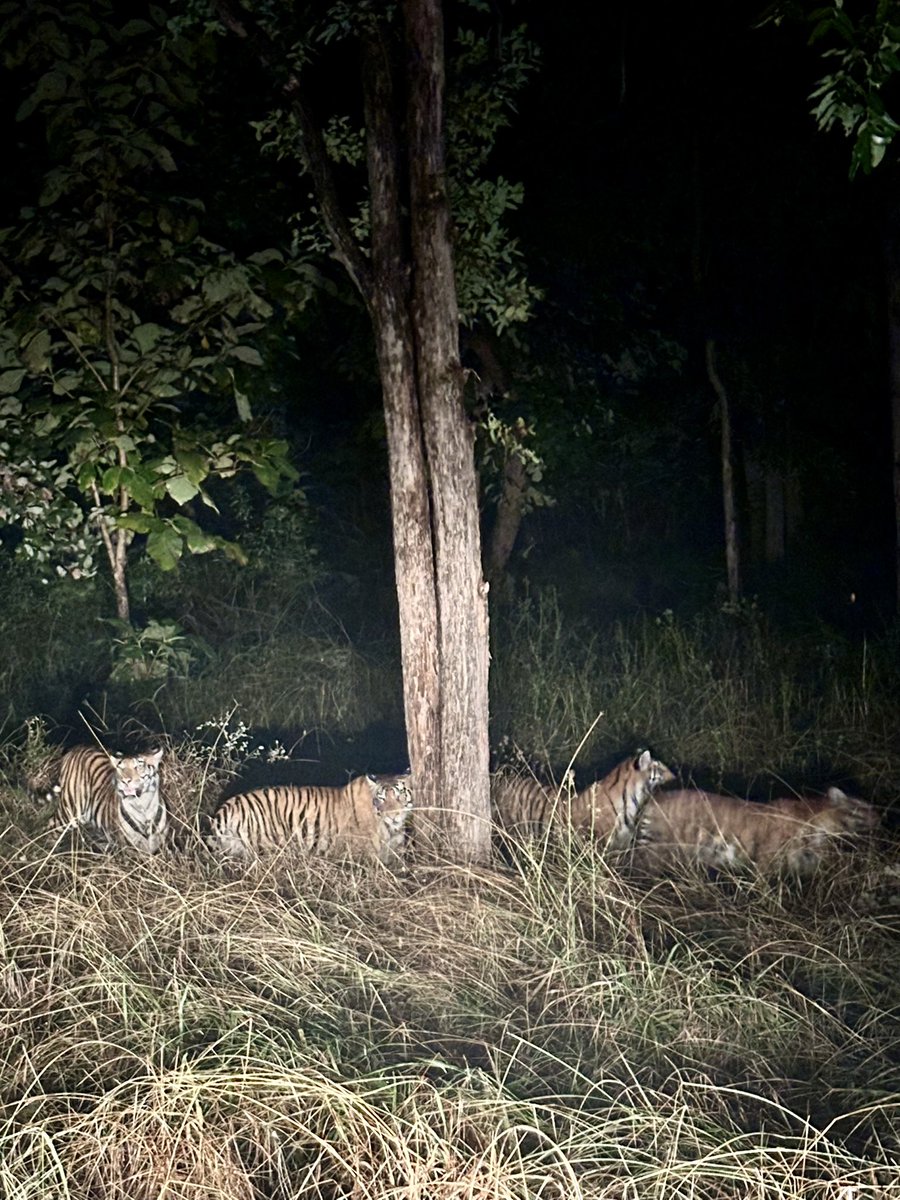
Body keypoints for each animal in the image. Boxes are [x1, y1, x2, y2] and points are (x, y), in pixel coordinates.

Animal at [632, 786, 880, 878]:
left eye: (872, 808)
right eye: (860, 810)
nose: (881, 817)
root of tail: (654, 798)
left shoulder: (807, 862)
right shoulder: (766, 863)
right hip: (658, 854)